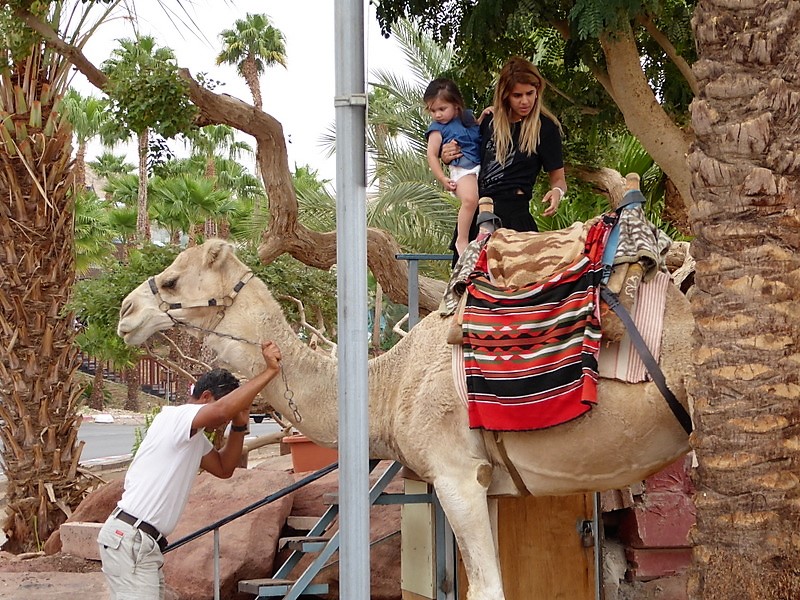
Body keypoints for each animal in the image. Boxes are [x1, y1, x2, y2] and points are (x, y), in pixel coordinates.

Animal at [117, 238, 693, 600]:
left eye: (172, 282)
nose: (125, 313)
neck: (390, 383)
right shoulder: (484, 480)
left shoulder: (455, 473)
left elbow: (488, 588)